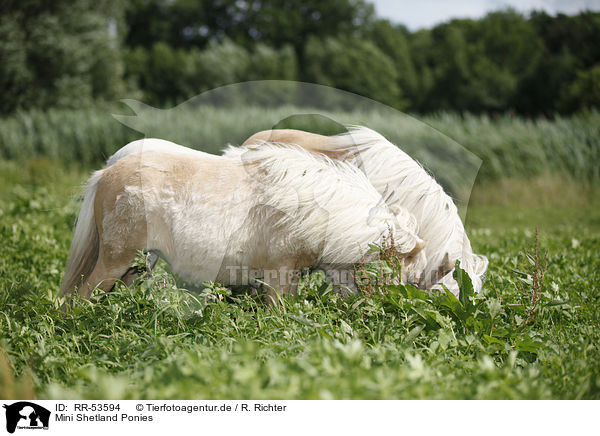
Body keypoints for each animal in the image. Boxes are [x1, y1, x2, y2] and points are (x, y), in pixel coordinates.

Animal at [62, 141, 426, 302]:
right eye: (397, 274)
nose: (386, 309)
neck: (317, 213)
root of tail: (107, 172)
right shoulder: (280, 274)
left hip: (138, 264)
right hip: (115, 261)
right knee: (81, 296)